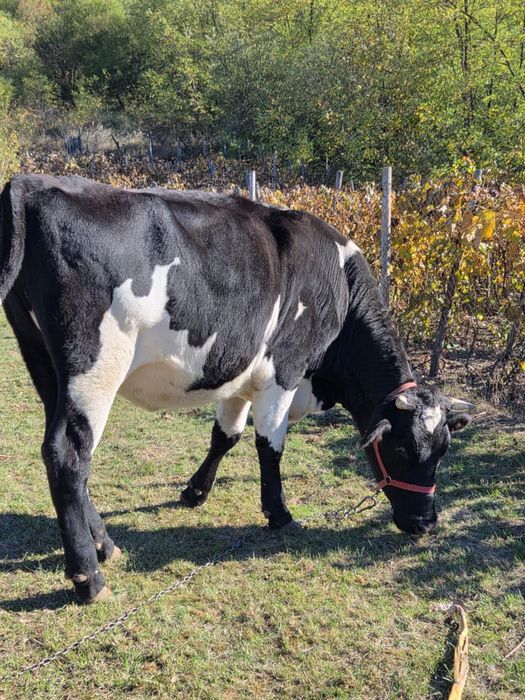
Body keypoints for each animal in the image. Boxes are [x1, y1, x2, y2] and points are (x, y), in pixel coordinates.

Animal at [0, 174, 473, 603]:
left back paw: (107, 546)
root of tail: (32, 183)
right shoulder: (285, 369)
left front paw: (194, 492)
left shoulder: (238, 371)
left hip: (45, 364)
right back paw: (89, 578)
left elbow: (225, 436)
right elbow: (270, 445)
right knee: (69, 456)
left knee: (64, 455)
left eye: (443, 450)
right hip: (95, 366)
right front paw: (279, 514)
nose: (426, 522)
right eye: (402, 449)